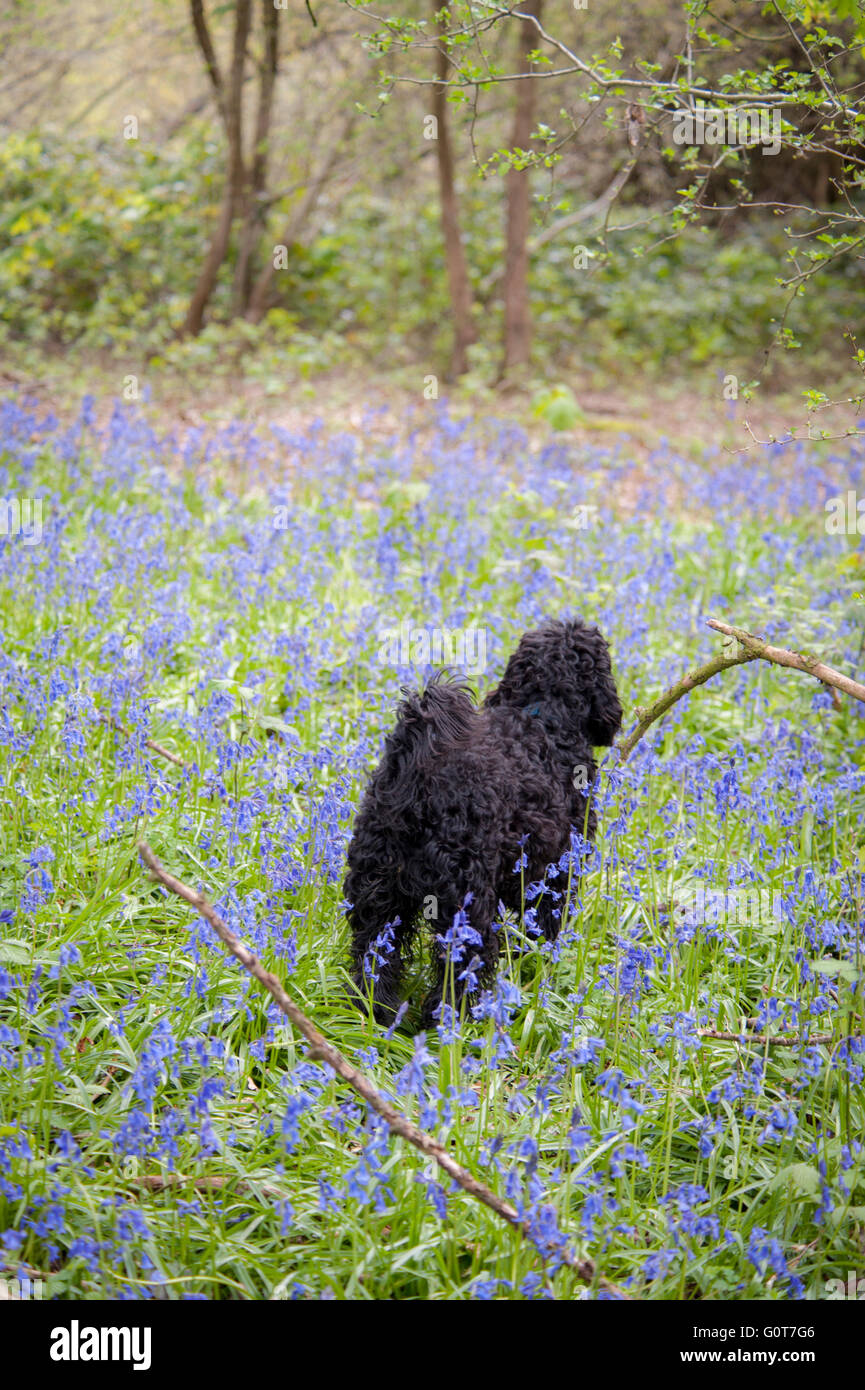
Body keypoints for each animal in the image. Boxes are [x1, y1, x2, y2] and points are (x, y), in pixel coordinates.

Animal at [346, 614, 623, 1028]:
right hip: (466, 903)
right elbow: (546, 930)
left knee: (372, 955)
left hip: (378, 893)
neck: (540, 717)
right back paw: (455, 1022)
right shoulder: (556, 874)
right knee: (460, 970)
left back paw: (376, 1012)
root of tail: (419, 773)